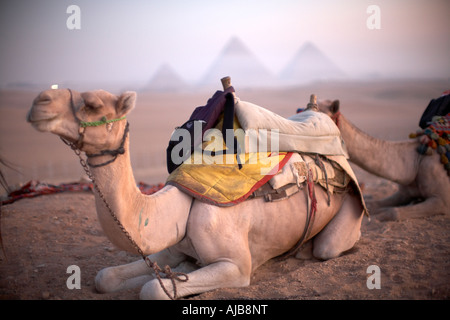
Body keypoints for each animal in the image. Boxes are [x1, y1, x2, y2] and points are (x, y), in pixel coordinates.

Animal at [27, 85, 366, 300]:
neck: (181, 206)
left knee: (329, 248)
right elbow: (106, 277)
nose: (40, 101)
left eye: (93, 105)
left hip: (347, 216)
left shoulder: (236, 267)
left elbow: (152, 290)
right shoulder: (170, 249)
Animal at [316, 100, 450, 220]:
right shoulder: (405, 192)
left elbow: (394, 212)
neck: (416, 160)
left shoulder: (442, 201)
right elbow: (373, 204)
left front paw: (379, 215)